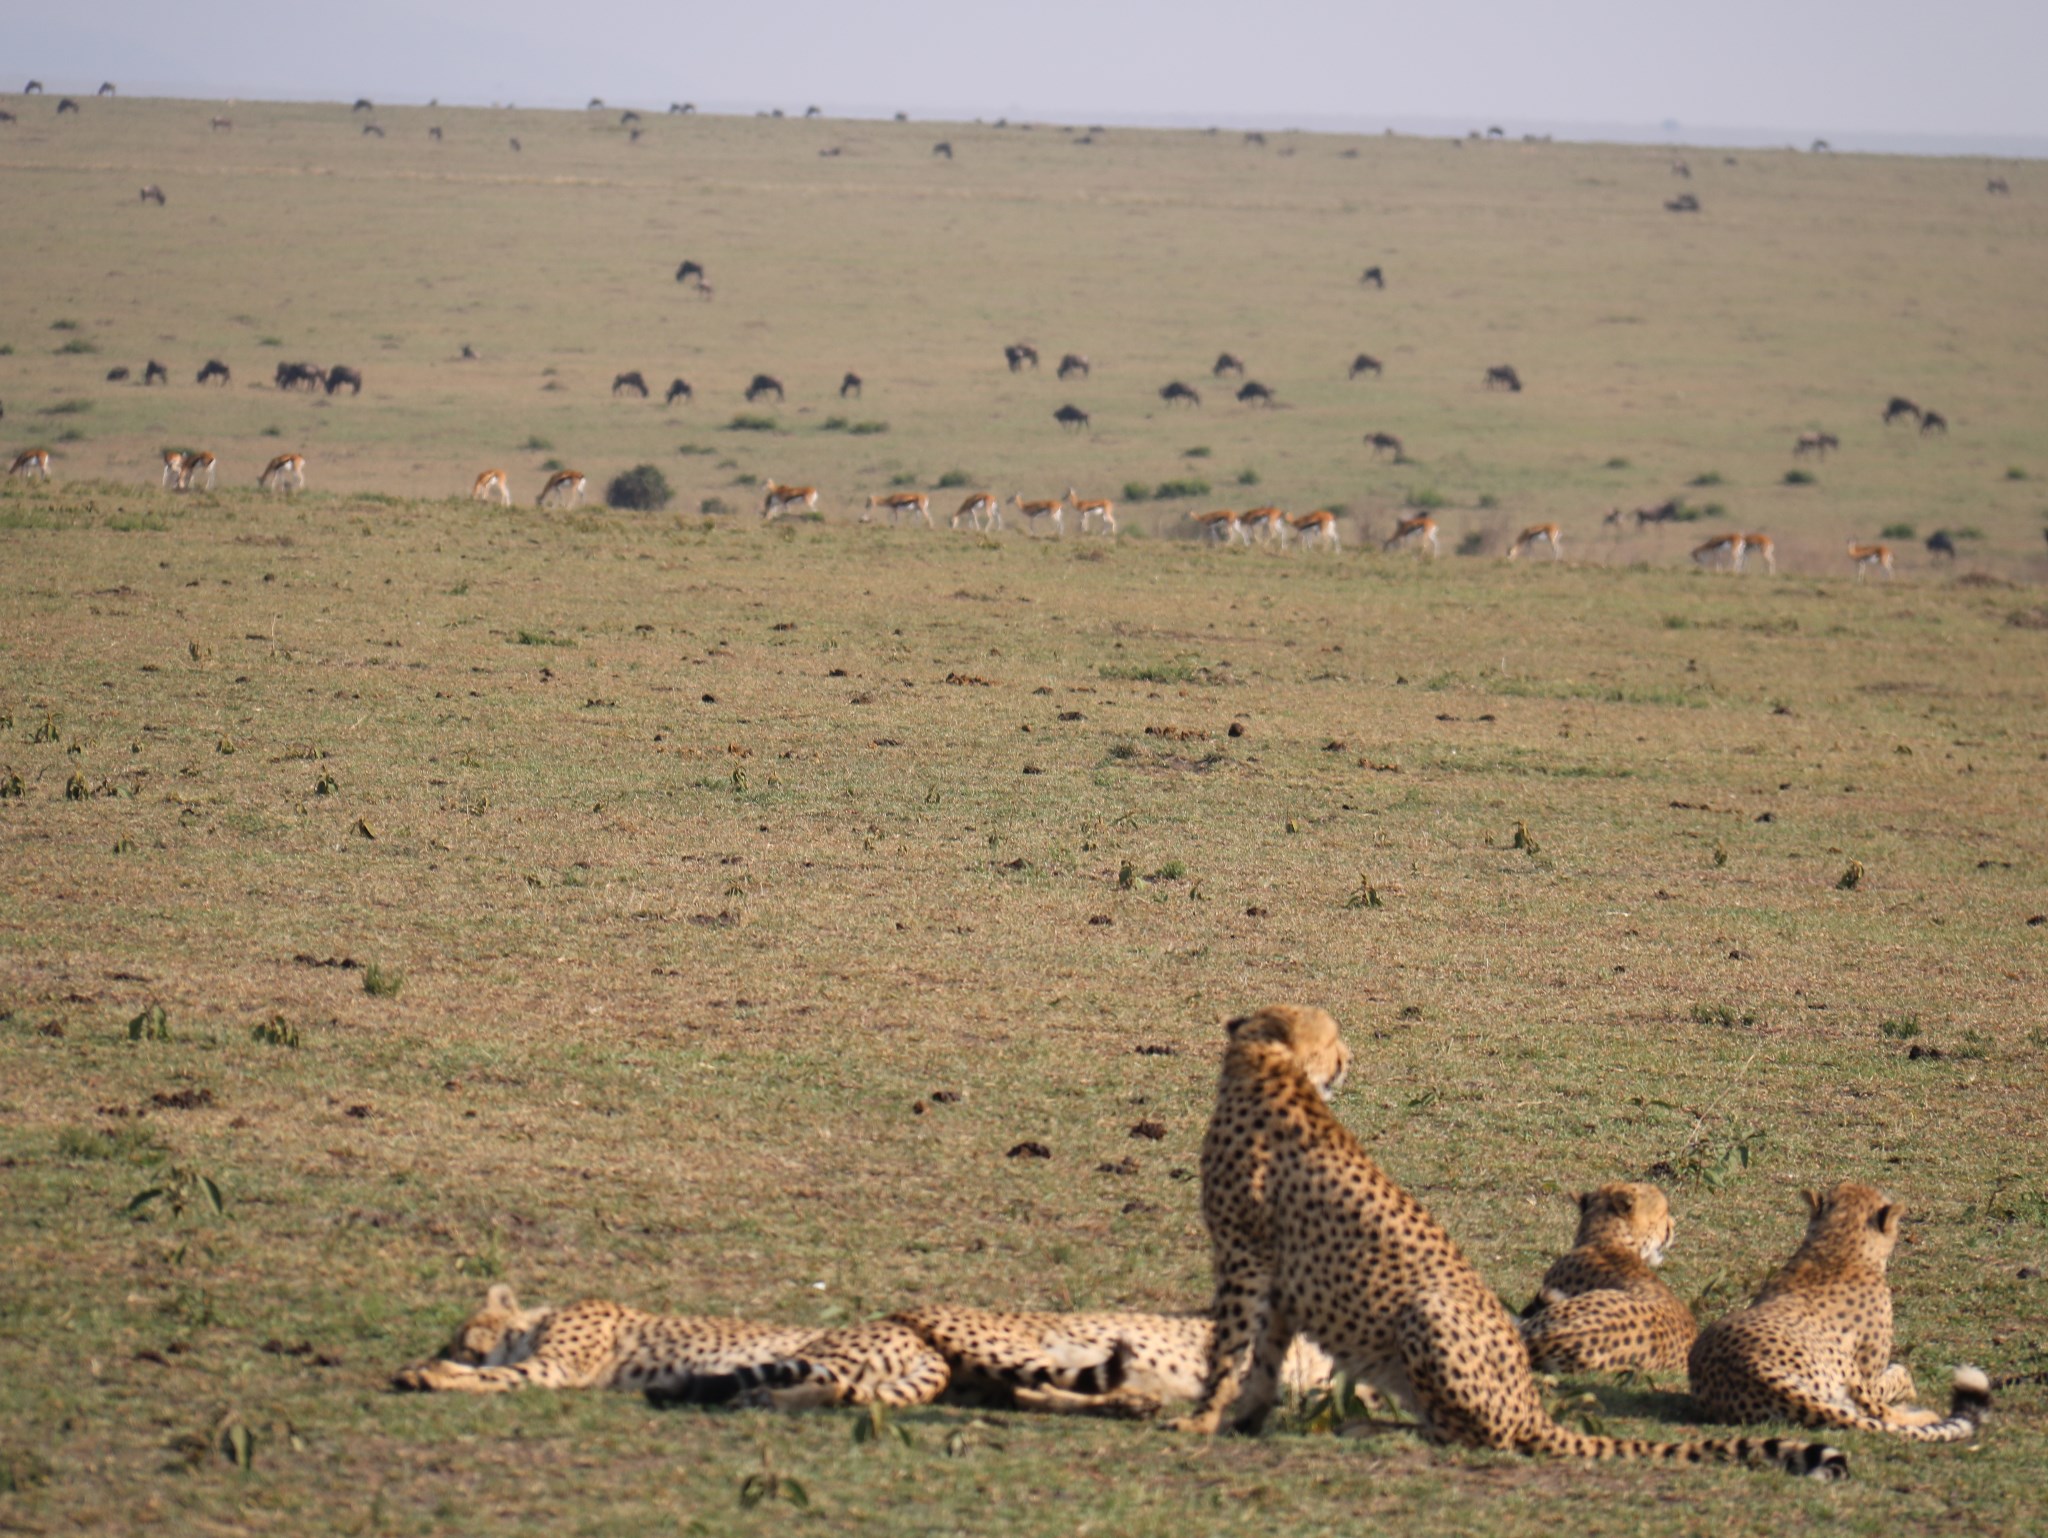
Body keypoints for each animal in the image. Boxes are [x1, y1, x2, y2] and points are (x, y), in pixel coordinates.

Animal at [1687, 1187, 1990, 1449]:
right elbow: (1900, 1374)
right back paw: (1925, 1415)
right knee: (1881, 1414)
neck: (1836, 1247)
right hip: (1848, 1373)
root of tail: (1752, 1366)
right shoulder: (1869, 1376)